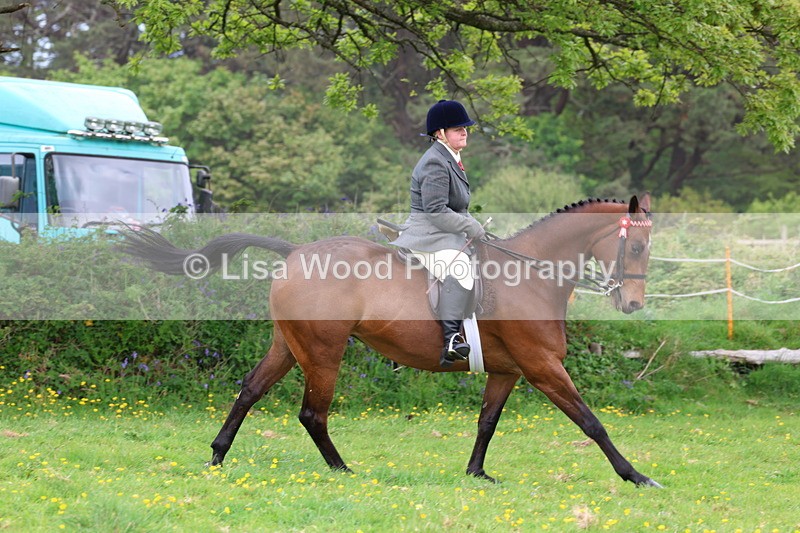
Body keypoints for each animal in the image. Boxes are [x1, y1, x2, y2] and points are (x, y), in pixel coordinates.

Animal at [121, 194, 662, 487]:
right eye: (635, 245)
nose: (633, 305)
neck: (531, 275)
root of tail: (296, 251)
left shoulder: (509, 370)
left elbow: (487, 423)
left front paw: (476, 473)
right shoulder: (543, 366)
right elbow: (592, 423)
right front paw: (636, 475)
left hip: (288, 345)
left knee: (250, 390)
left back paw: (217, 455)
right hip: (323, 351)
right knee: (312, 413)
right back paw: (342, 469)